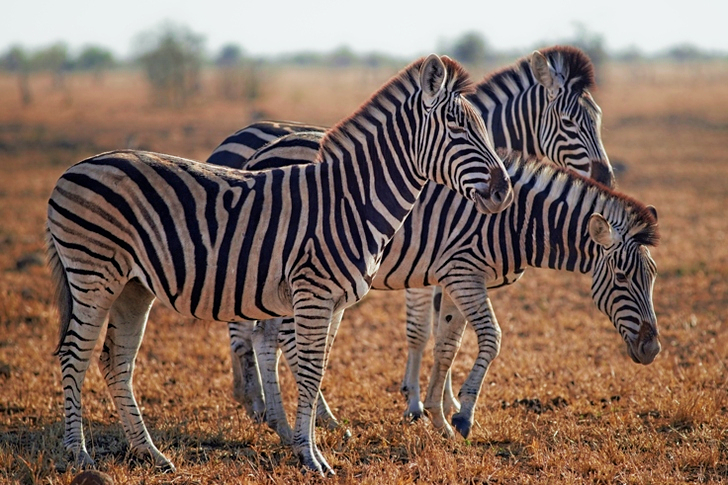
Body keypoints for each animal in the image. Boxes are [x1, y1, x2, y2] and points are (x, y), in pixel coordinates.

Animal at [45, 54, 513, 475]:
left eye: (483, 129)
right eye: (456, 127)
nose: (504, 192)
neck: (352, 201)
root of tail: (73, 169)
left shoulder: (334, 302)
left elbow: (317, 370)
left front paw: (307, 445)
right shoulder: (314, 293)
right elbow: (307, 371)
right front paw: (311, 457)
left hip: (133, 286)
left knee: (116, 361)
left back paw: (151, 454)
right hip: (93, 274)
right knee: (75, 353)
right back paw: (78, 455)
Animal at [227, 147, 661, 443]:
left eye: (653, 277)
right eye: (622, 276)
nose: (652, 349)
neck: (513, 220)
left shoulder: (457, 279)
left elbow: (447, 346)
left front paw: (437, 417)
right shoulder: (463, 273)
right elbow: (491, 338)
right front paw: (463, 415)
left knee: (267, 338)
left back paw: (295, 421)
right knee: (279, 340)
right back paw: (300, 421)